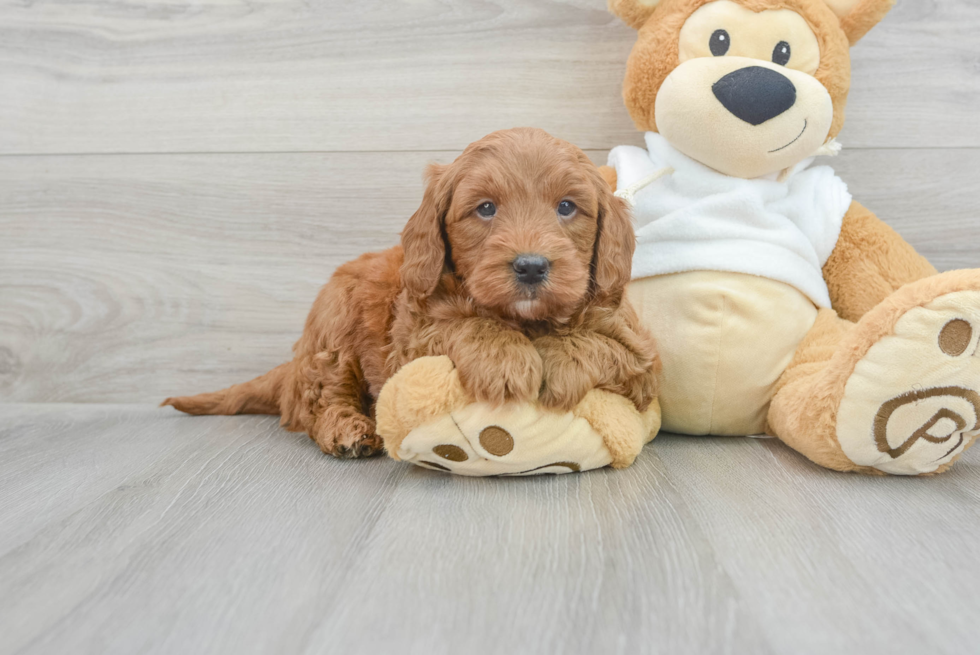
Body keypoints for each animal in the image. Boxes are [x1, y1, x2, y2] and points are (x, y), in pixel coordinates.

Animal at [165, 127, 664, 456]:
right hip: (333, 331)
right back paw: (347, 431)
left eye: (566, 207)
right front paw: (505, 359)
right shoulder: (410, 341)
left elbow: (605, 347)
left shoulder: (642, 356)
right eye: (486, 208)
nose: (530, 266)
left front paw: (559, 361)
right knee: (318, 401)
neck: (525, 319)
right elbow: (467, 325)